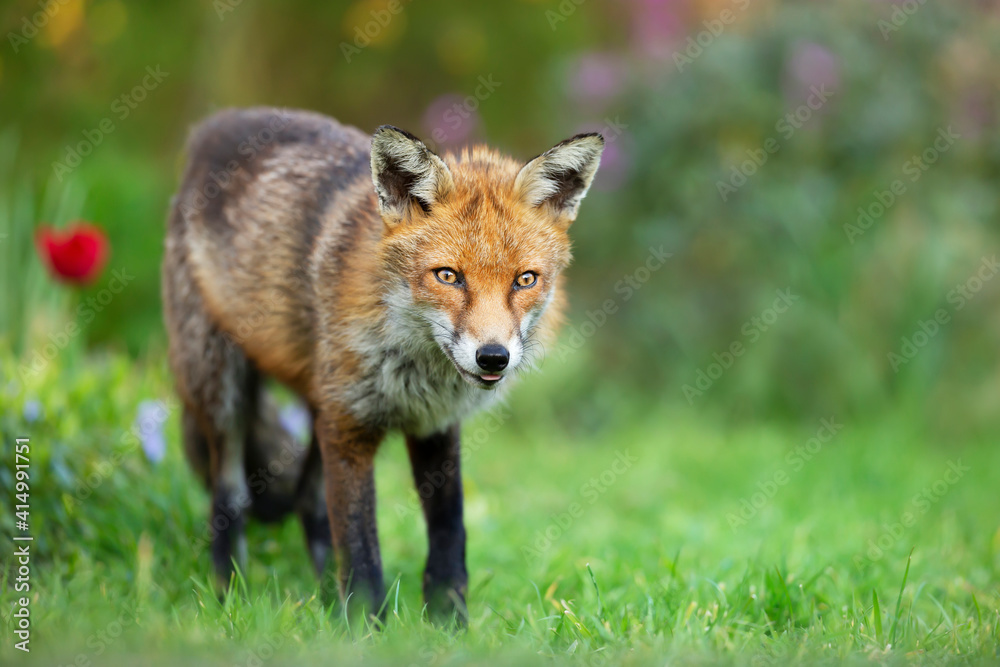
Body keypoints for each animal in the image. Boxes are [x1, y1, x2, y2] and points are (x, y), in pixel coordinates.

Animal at [162, 106, 604, 620]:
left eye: (525, 280)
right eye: (448, 276)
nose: (493, 356)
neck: (416, 371)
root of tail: (211, 128)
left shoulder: (434, 426)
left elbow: (450, 537)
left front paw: (448, 624)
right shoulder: (350, 427)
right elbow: (360, 551)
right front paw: (363, 627)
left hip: (316, 403)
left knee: (308, 499)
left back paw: (322, 600)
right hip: (222, 392)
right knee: (230, 498)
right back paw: (228, 594)